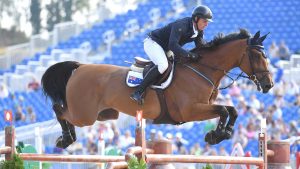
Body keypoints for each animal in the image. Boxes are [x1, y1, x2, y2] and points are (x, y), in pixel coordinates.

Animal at [42, 29, 274, 149]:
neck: (201, 69)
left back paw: (68, 137)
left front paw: (221, 134)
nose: (268, 84)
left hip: (104, 115)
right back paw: (66, 138)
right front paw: (216, 135)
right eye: (257, 55)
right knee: (59, 110)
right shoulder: (190, 111)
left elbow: (231, 110)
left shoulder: (203, 106)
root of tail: (80, 67)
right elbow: (224, 110)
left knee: (64, 113)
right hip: (85, 115)